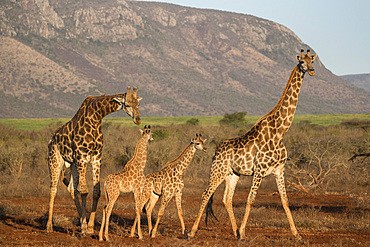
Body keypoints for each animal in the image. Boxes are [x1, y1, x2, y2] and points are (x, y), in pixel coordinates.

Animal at [47, 87, 142, 235]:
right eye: (126, 104)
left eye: (138, 104)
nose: (138, 120)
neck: (96, 117)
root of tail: (51, 140)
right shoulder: (82, 156)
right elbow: (84, 191)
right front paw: (85, 228)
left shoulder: (96, 156)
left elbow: (96, 191)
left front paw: (90, 227)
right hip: (55, 160)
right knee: (53, 189)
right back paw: (49, 226)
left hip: (72, 163)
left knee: (72, 188)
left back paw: (80, 222)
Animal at [189, 48, 316, 241]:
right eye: (301, 62)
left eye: (312, 61)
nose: (311, 71)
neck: (280, 132)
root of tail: (215, 153)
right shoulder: (260, 170)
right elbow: (250, 200)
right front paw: (243, 232)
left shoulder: (279, 170)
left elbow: (285, 201)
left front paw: (297, 235)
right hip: (217, 171)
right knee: (206, 194)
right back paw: (191, 232)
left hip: (232, 174)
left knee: (227, 199)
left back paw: (235, 233)